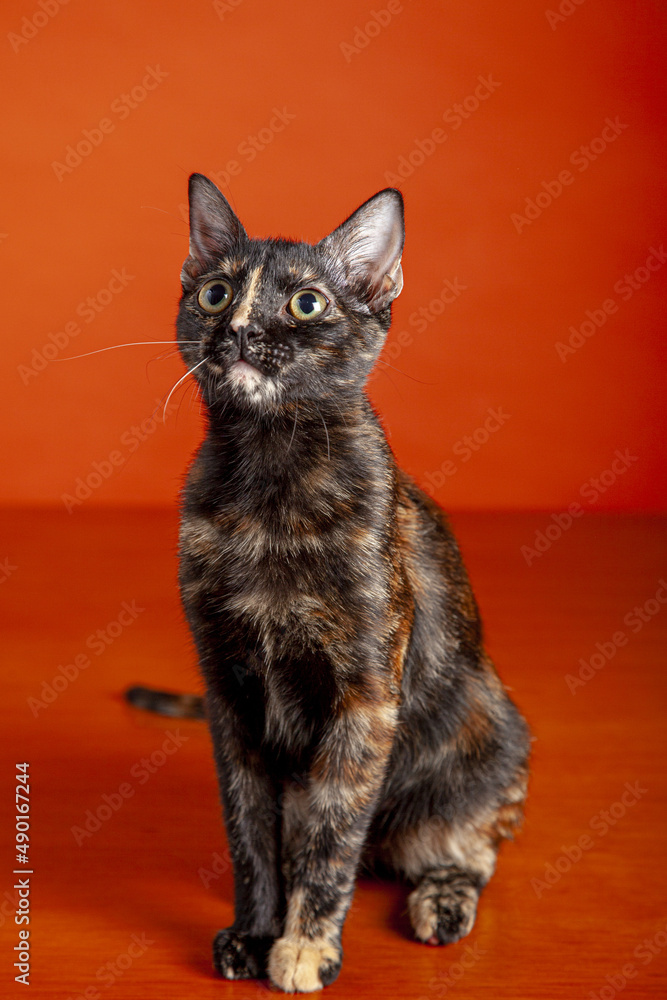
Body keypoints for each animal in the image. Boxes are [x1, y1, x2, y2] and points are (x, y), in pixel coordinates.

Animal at [147, 172, 532, 992]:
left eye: (306, 303)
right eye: (216, 293)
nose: (236, 332)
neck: (269, 484)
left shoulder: (364, 697)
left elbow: (333, 833)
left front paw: (304, 948)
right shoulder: (230, 692)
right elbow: (250, 831)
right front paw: (255, 932)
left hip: (489, 745)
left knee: (463, 850)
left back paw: (439, 901)